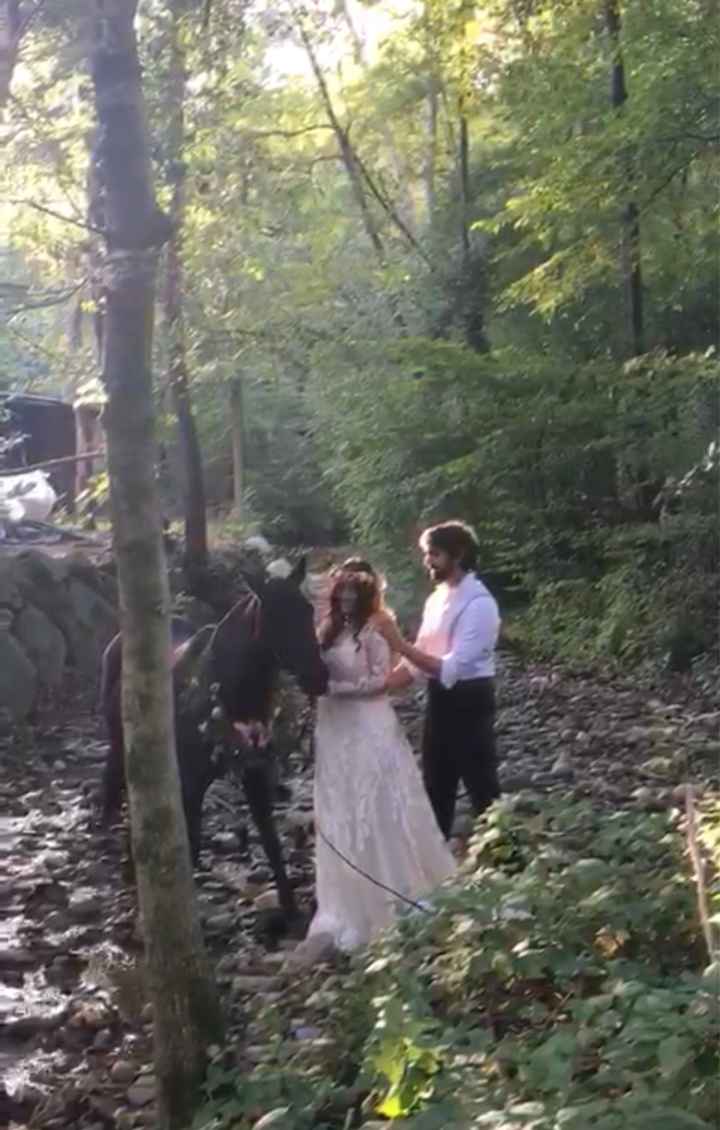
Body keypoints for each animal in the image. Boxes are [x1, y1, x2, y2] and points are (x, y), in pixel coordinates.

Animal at [98, 555, 327, 917]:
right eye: (274, 617)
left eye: (307, 609)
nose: (319, 676)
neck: (231, 696)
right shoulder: (193, 781)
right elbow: (189, 844)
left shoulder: (254, 773)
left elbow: (271, 841)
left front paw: (291, 911)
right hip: (122, 743)